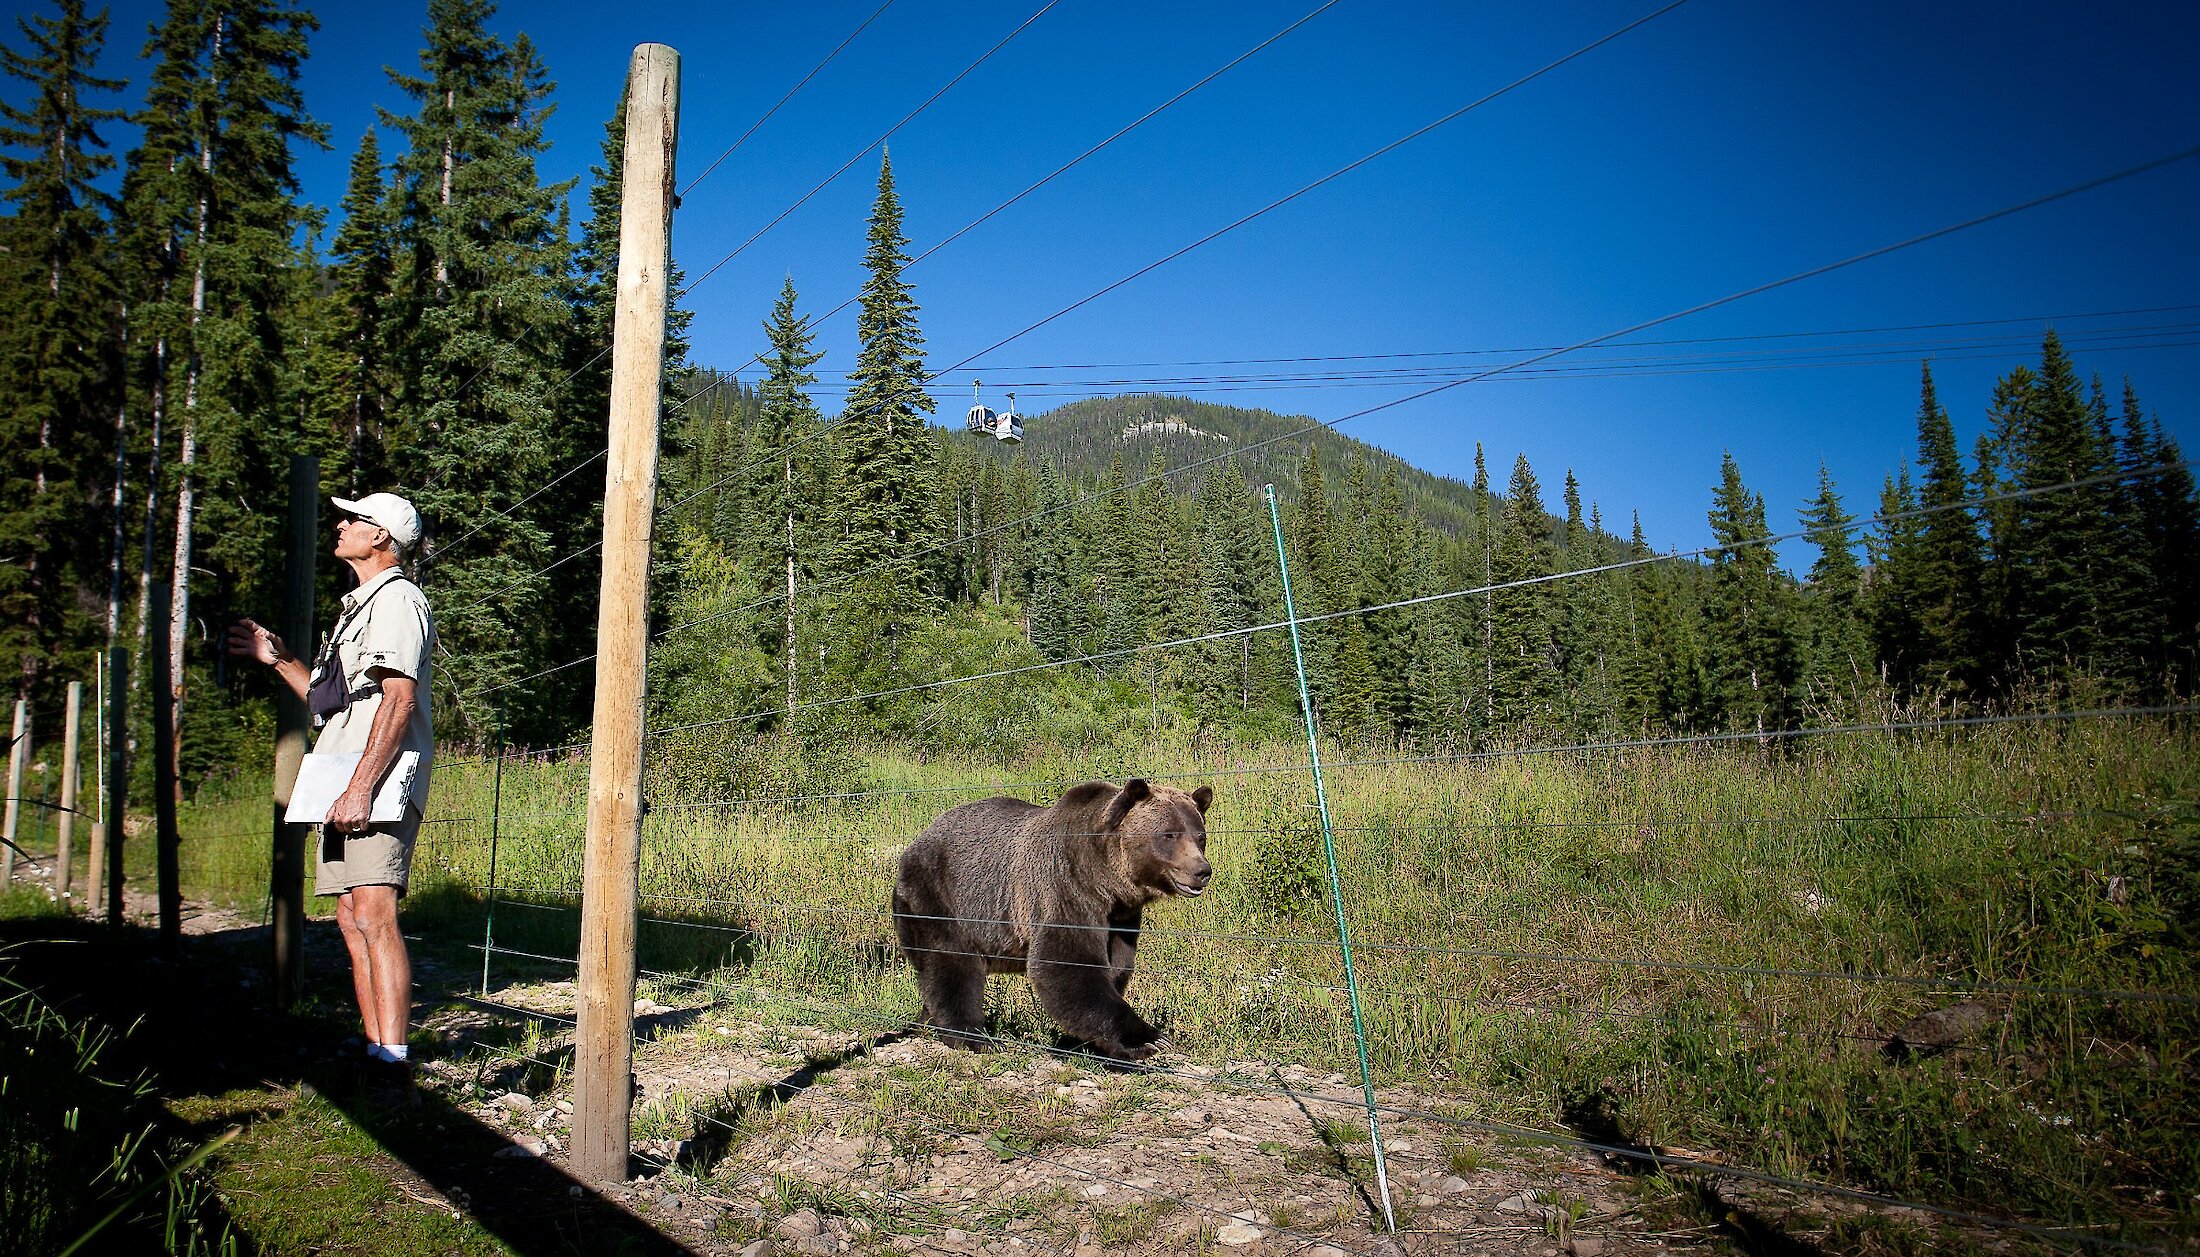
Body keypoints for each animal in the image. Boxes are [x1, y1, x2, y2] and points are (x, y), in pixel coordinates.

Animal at [884, 779, 1214, 1061]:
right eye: (1169, 834)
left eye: (1200, 836)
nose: (1201, 871)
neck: (1107, 879)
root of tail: (916, 841)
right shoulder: (1066, 888)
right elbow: (1067, 965)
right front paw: (1148, 1038)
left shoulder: (1122, 917)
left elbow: (1117, 967)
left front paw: (1089, 1042)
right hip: (942, 896)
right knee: (950, 963)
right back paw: (972, 1036)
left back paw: (927, 1021)